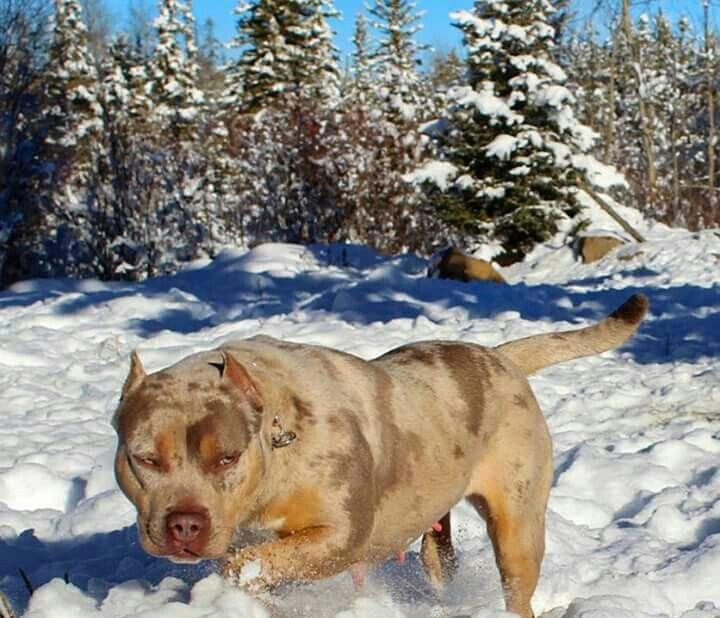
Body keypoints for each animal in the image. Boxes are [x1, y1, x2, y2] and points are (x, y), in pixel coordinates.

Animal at [112, 292, 648, 612]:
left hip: (517, 524)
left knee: (517, 581)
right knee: (439, 559)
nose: (184, 525)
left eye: (226, 457)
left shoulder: (339, 535)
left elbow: (251, 565)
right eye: (144, 459)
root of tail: (501, 358)